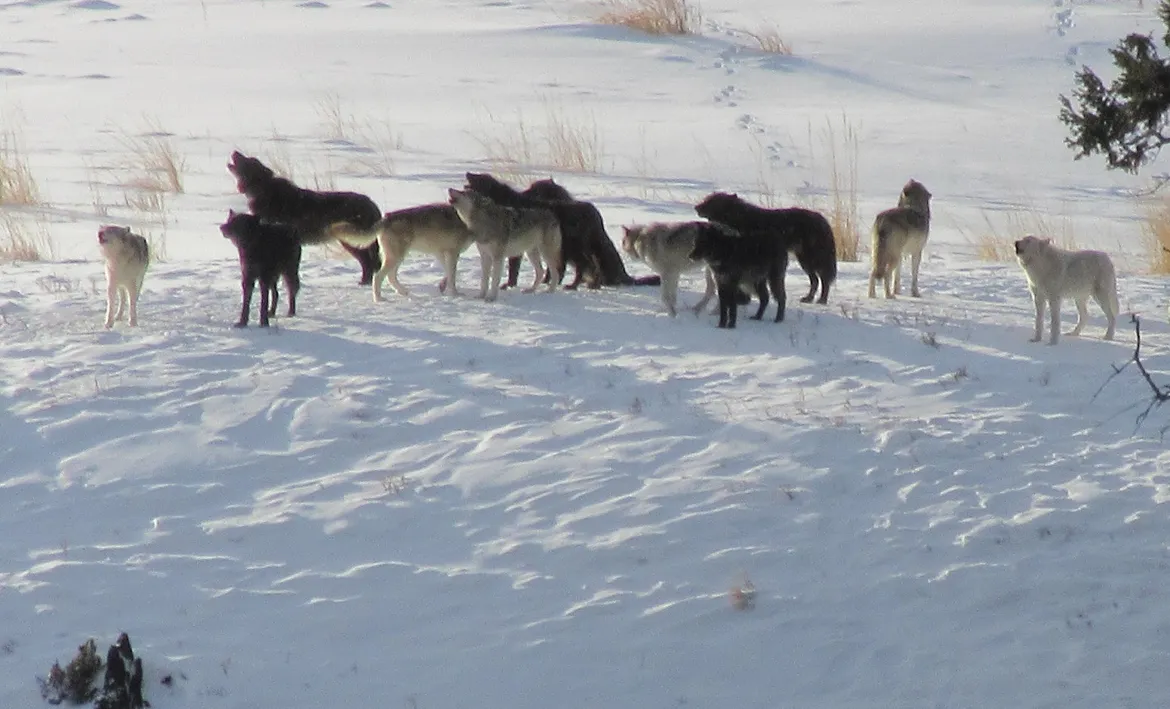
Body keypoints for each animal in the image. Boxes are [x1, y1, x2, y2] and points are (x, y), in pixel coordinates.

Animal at [227, 151, 381, 285]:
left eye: (248, 160)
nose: (235, 151)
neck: (262, 191)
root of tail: (372, 204)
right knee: (369, 264)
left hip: (353, 241)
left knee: (370, 263)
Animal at [329, 203, 474, 303]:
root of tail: (386, 218)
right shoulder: (452, 253)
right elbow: (453, 276)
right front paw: (455, 294)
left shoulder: (441, 253)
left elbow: (448, 274)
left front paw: (443, 287)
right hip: (396, 257)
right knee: (378, 277)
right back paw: (379, 299)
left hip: (397, 258)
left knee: (390, 277)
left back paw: (402, 292)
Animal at [694, 192, 837, 304]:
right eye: (707, 198)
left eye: (711, 201)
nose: (696, 207)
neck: (738, 218)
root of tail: (823, 220)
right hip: (804, 260)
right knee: (816, 280)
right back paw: (809, 298)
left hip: (810, 259)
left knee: (823, 279)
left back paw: (822, 300)